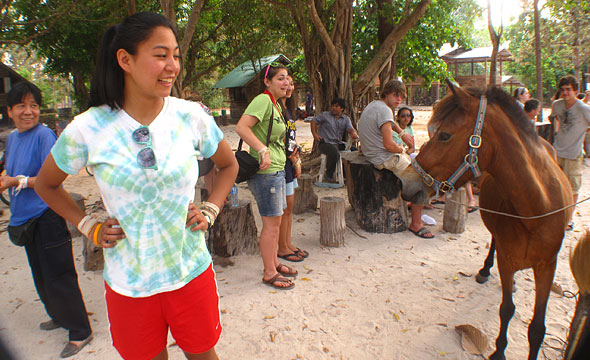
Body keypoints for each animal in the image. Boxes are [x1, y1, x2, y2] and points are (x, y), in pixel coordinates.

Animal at [400, 83, 576, 358]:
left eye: (445, 135)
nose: (405, 183)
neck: (536, 210)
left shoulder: (548, 266)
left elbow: (537, 327)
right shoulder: (507, 260)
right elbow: (507, 309)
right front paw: (499, 350)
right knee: (493, 241)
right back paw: (485, 270)